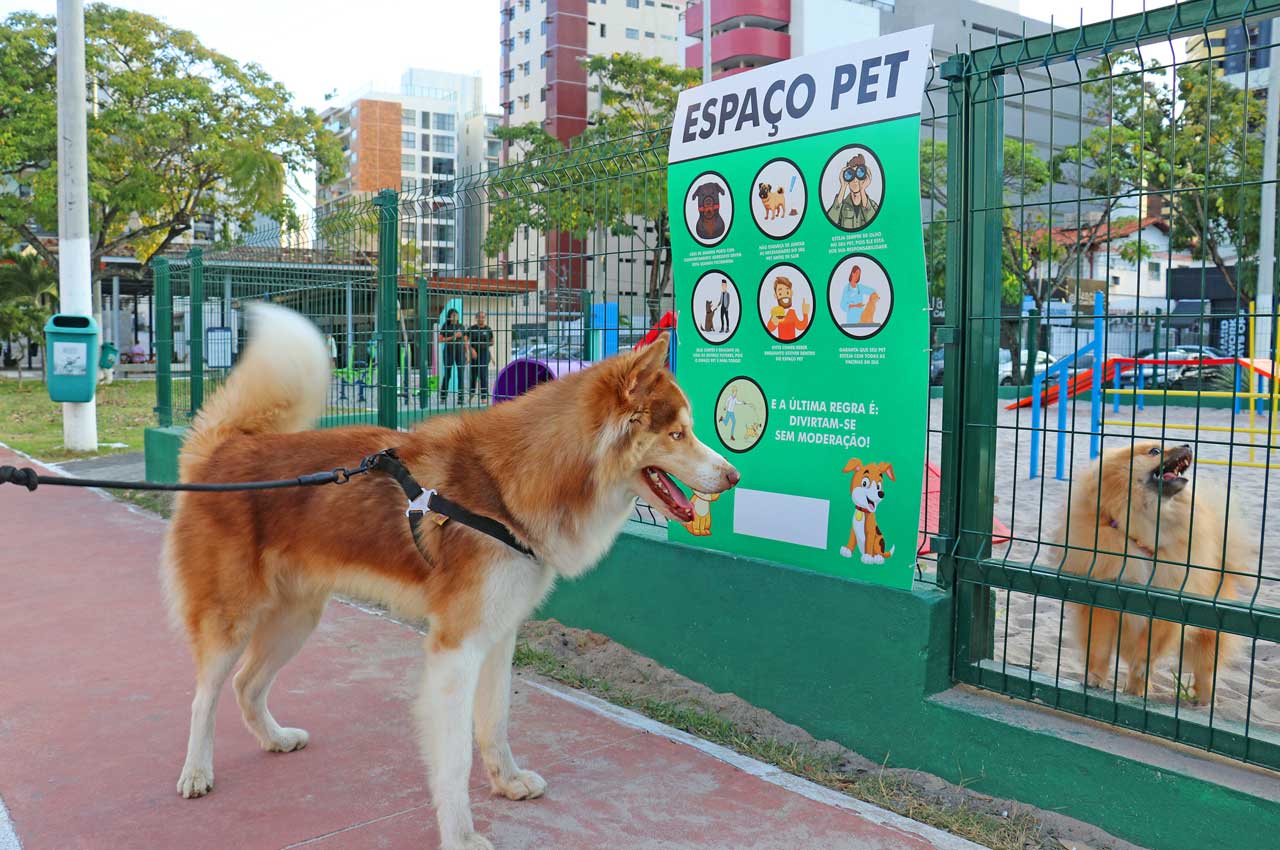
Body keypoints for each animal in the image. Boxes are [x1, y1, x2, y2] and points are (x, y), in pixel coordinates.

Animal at [1059, 440, 1249, 706]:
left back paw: (1203, 702)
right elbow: (1099, 650)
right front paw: (1094, 680)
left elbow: (1146, 653)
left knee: (1205, 670)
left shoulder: (1166, 608)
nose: (1188, 444)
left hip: (1208, 633)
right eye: (1155, 451)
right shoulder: (1101, 601)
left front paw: (1137, 677)